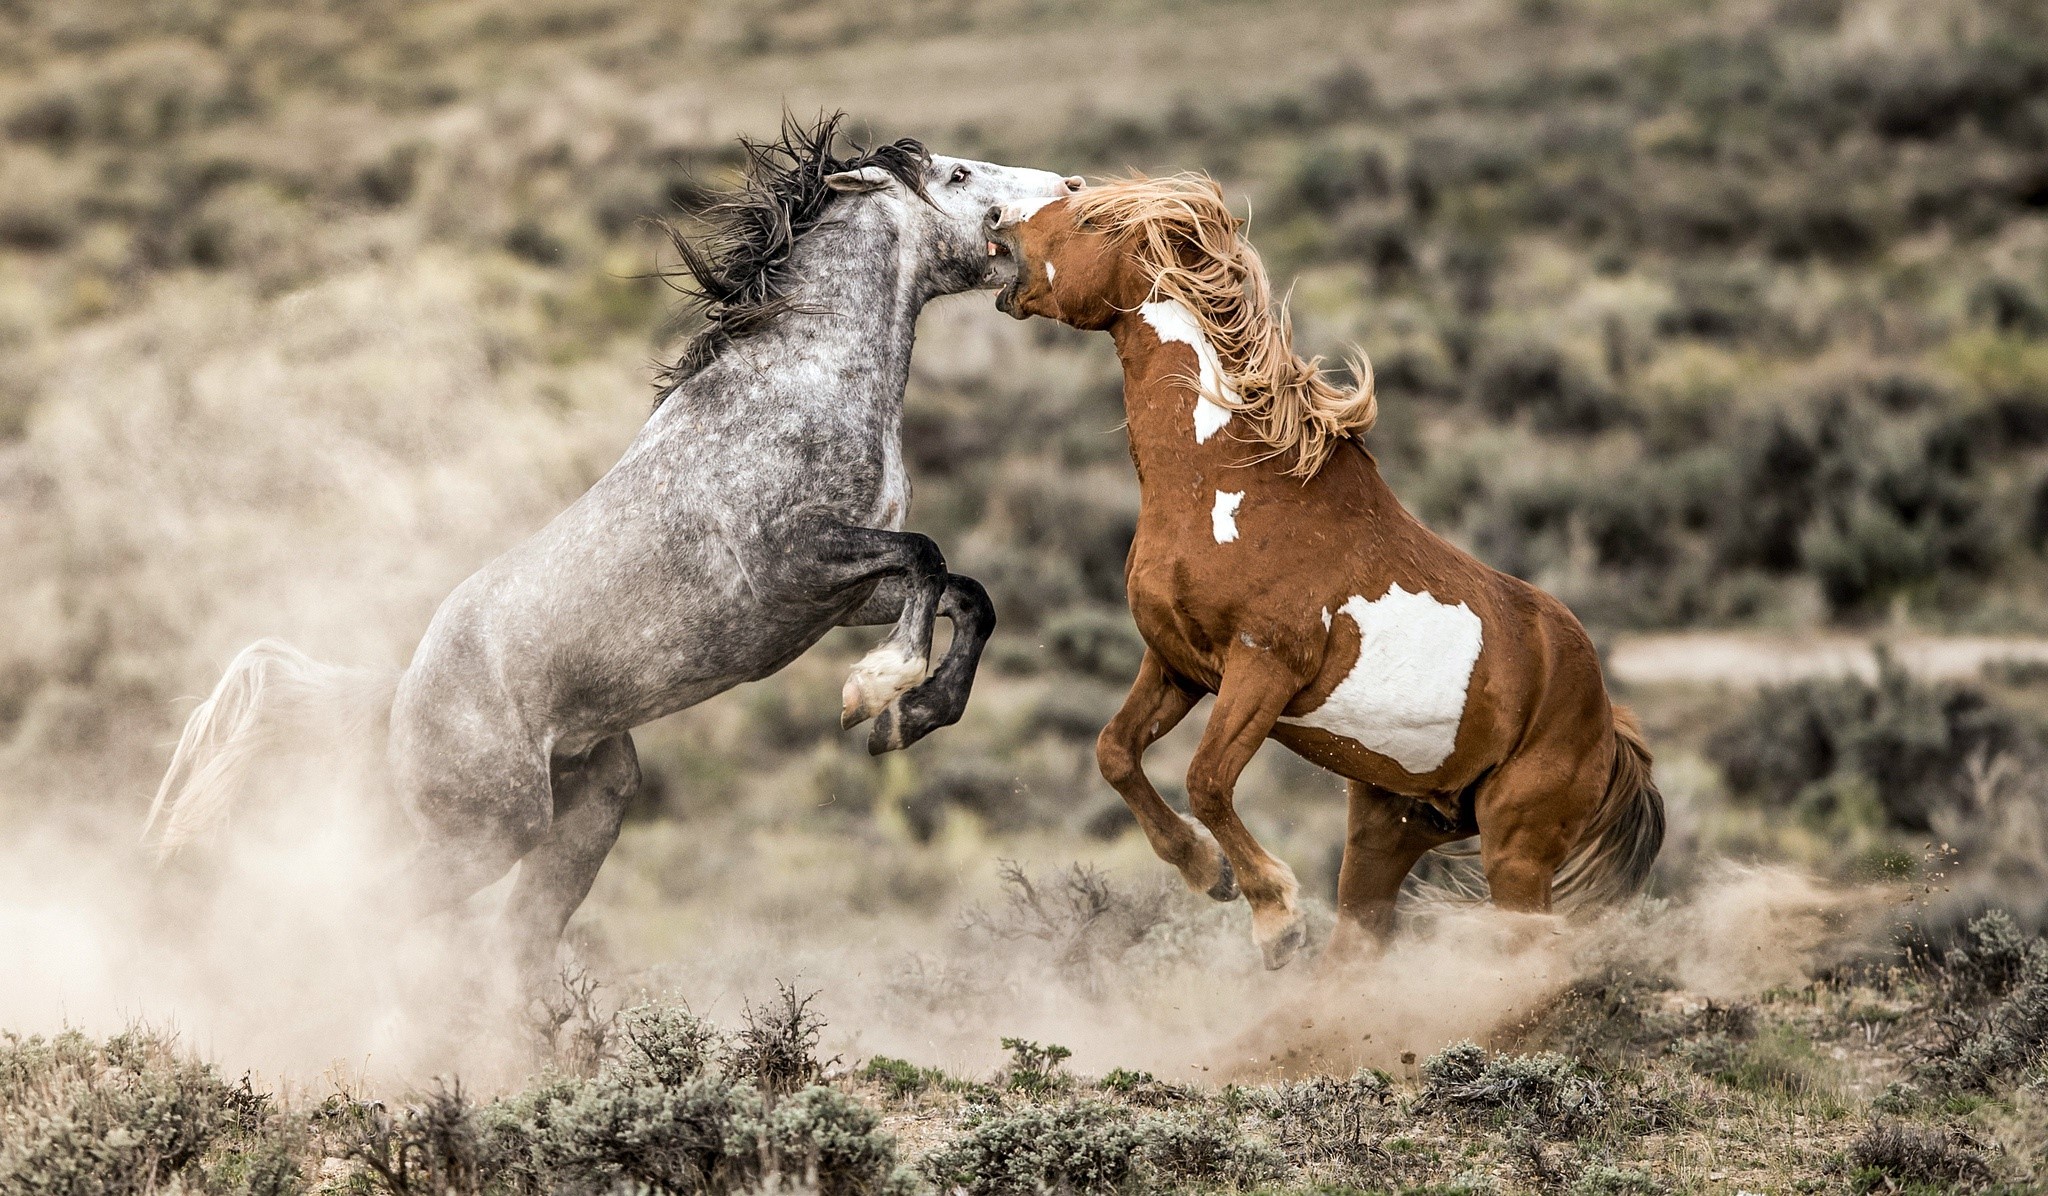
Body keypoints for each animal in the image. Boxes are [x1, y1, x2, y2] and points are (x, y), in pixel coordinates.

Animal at [145, 113, 1083, 983]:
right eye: (958, 174)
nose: (1072, 187)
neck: (799, 384)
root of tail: (401, 696)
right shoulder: (795, 561)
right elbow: (927, 555)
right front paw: (875, 693)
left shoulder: (845, 595)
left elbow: (966, 591)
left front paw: (914, 717)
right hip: (485, 833)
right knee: (366, 916)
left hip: (586, 816)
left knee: (511, 951)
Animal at [985, 175, 1663, 970]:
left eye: (1090, 218)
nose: (996, 219)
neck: (1231, 480)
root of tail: (1606, 720)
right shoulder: (1177, 663)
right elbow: (1115, 753)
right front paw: (1207, 872)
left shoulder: (1263, 667)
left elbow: (1206, 780)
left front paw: (1274, 916)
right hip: (1392, 825)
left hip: (1515, 847)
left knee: (1528, 946)